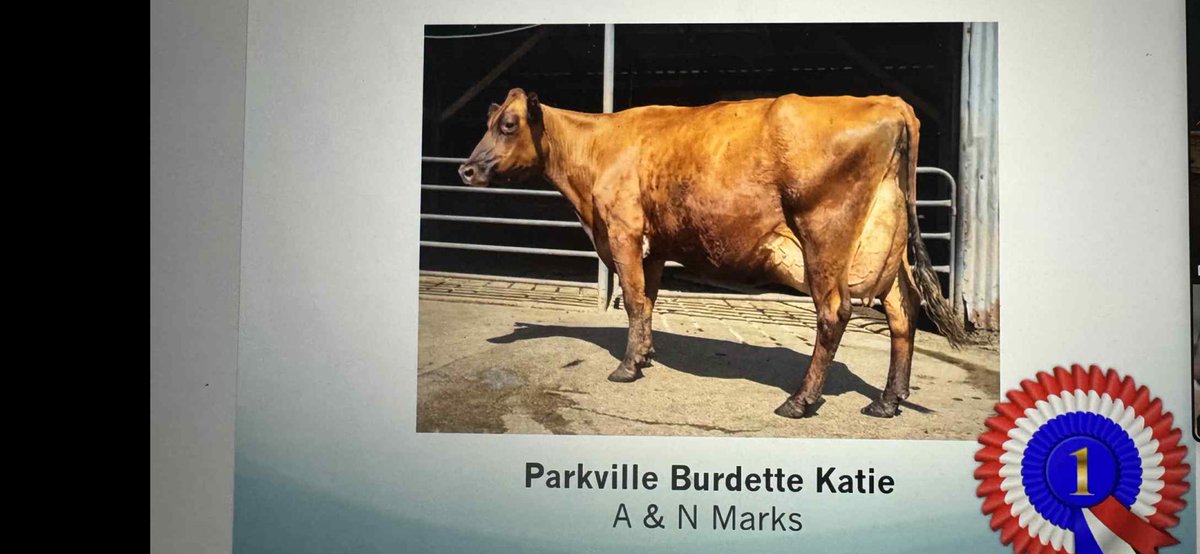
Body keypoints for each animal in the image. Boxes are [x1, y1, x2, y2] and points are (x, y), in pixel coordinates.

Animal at [458, 88, 969, 418]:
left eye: (508, 125)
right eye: (487, 123)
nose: (465, 170)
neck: (597, 148)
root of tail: (887, 101)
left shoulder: (623, 232)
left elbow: (634, 300)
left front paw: (626, 368)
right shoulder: (655, 246)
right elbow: (648, 301)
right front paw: (645, 356)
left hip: (825, 237)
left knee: (834, 312)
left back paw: (800, 401)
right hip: (886, 243)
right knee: (903, 310)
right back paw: (887, 400)